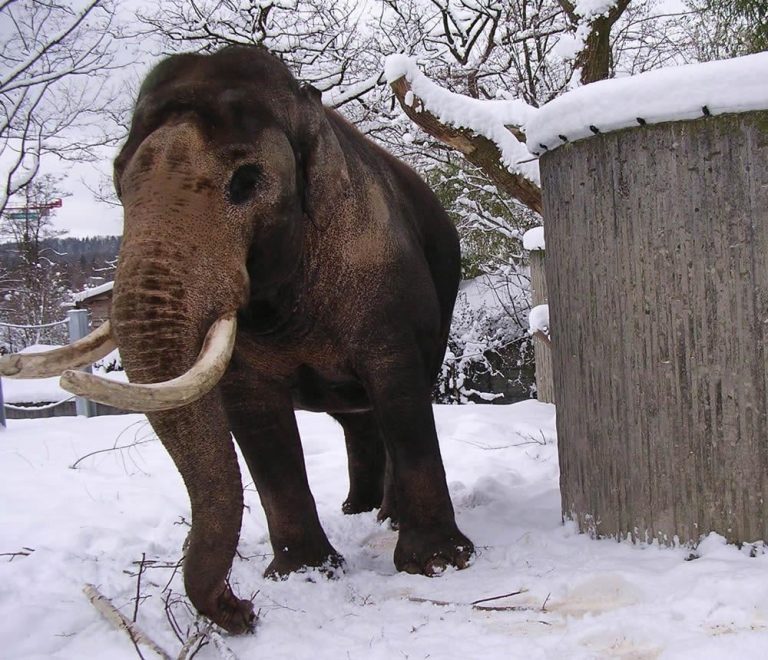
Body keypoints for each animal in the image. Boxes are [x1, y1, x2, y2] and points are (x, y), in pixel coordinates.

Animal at [0, 45, 474, 633]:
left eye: (246, 181)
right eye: (117, 183)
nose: (242, 610)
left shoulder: (383, 281)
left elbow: (400, 391)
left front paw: (438, 564)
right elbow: (254, 419)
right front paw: (302, 575)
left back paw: (385, 518)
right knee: (355, 419)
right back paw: (359, 512)